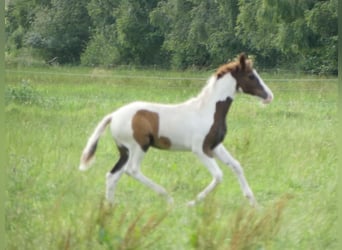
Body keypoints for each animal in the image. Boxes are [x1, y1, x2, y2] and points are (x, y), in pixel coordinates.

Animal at [79, 53, 274, 206]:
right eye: (251, 76)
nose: (269, 96)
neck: (207, 110)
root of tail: (114, 115)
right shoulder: (200, 149)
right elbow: (218, 175)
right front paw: (192, 202)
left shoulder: (216, 146)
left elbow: (237, 166)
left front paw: (254, 203)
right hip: (139, 146)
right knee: (132, 170)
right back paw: (168, 198)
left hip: (124, 151)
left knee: (112, 175)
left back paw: (110, 206)